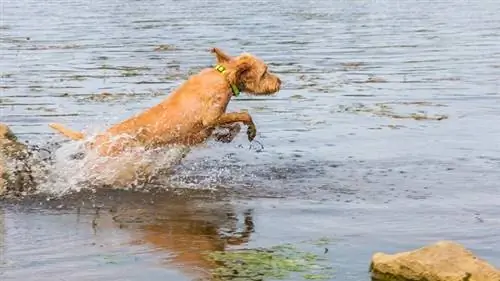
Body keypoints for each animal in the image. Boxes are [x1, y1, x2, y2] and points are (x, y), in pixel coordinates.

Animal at [49, 47, 284, 158]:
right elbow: (243, 114)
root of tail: (97, 138)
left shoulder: (213, 120)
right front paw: (251, 130)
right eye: (265, 72)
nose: (280, 82)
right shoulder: (210, 117)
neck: (223, 78)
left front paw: (228, 136)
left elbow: (233, 123)